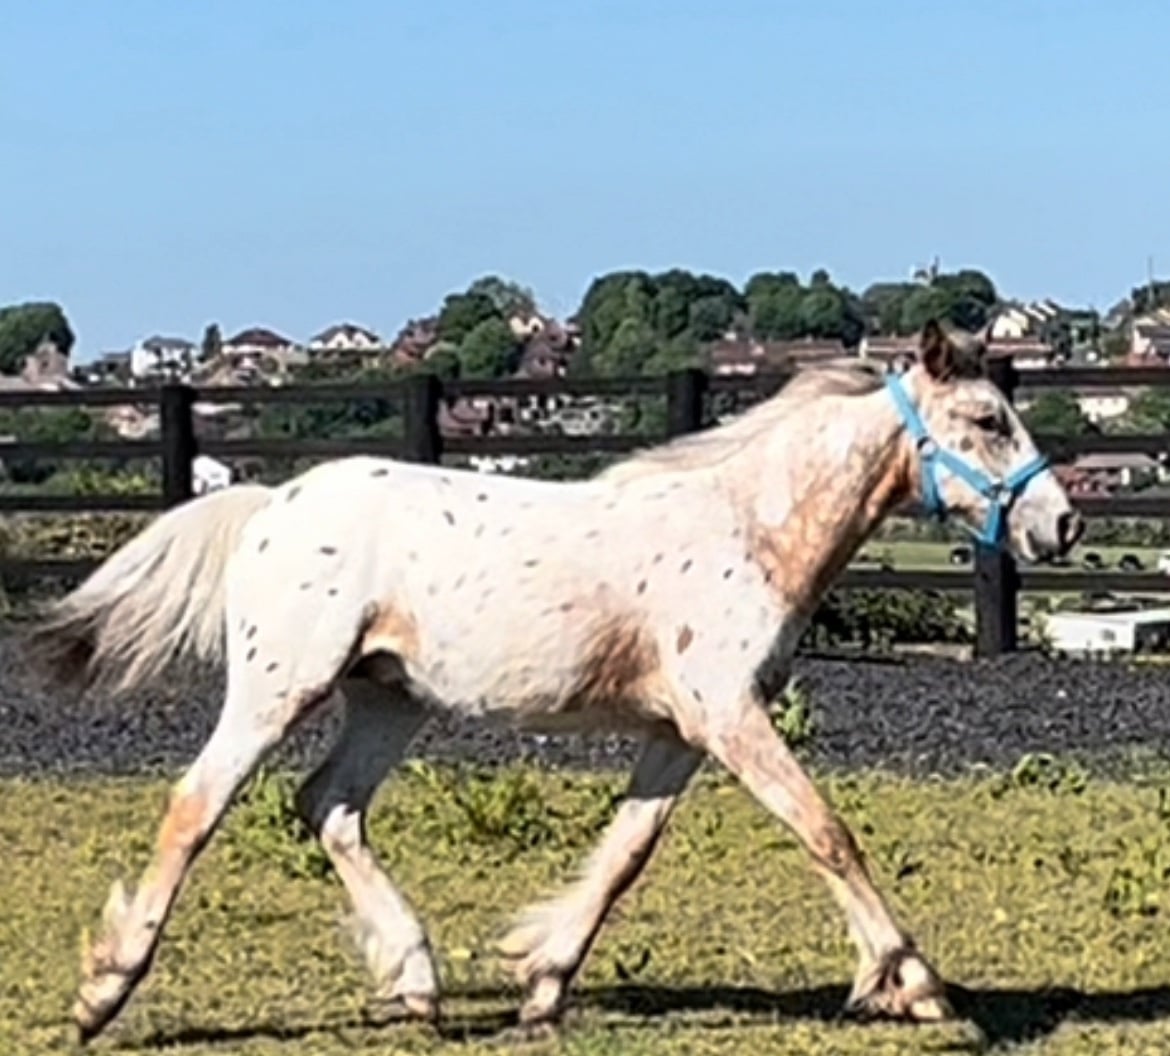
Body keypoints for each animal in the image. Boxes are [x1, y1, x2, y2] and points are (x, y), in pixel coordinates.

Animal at [30, 318, 1082, 1044]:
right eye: (987, 420)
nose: (1061, 526)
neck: (749, 527)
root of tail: (268, 503)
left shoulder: (680, 730)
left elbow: (625, 853)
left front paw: (540, 980)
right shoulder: (727, 712)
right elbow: (825, 831)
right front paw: (917, 986)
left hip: (387, 697)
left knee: (328, 806)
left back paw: (417, 984)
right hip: (279, 686)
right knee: (197, 804)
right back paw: (103, 993)